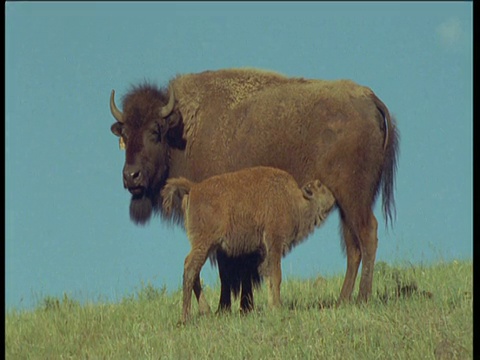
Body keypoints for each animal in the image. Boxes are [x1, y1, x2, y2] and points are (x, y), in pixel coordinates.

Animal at [109, 69, 398, 308]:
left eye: (155, 132)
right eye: (124, 135)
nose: (131, 176)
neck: (185, 132)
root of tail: (369, 98)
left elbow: (228, 266)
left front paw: (226, 308)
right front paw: (242, 306)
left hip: (354, 198)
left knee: (367, 235)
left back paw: (363, 298)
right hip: (346, 204)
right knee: (352, 245)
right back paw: (342, 300)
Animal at [161, 166, 334, 324]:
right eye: (319, 185)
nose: (333, 199)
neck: (293, 199)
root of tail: (194, 187)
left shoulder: (265, 251)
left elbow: (269, 277)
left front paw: (272, 306)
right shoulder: (274, 243)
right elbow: (276, 275)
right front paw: (278, 307)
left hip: (206, 246)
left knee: (193, 270)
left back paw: (206, 311)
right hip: (204, 243)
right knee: (190, 268)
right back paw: (185, 318)